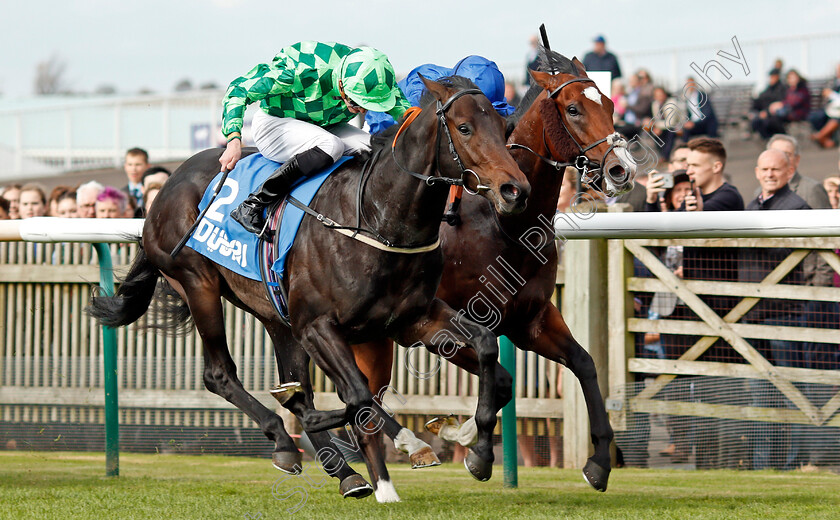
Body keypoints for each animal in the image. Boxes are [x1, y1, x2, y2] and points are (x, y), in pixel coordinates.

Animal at [88, 75, 528, 498]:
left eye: (505, 126)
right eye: (465, 127)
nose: (515, 190)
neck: (376, 220)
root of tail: (165, 188)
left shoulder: (412, 318)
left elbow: (488, 348)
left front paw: (479, 452)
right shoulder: (319, 325)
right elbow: (358, 396)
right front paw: (401, 462)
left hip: (276, 313)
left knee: (300, 384)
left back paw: (347, 471)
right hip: (198, 285)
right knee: (220, 375)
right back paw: (290, 441)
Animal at [350, 51, 636, 500]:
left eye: (608, 104)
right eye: (573, 109)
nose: (622, 169)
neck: (506, 225)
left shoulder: (531, 320)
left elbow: (583, 364)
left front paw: (599, 462)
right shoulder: (440, 323)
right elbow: (500, 378)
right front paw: (475, 448)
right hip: (373, 339)